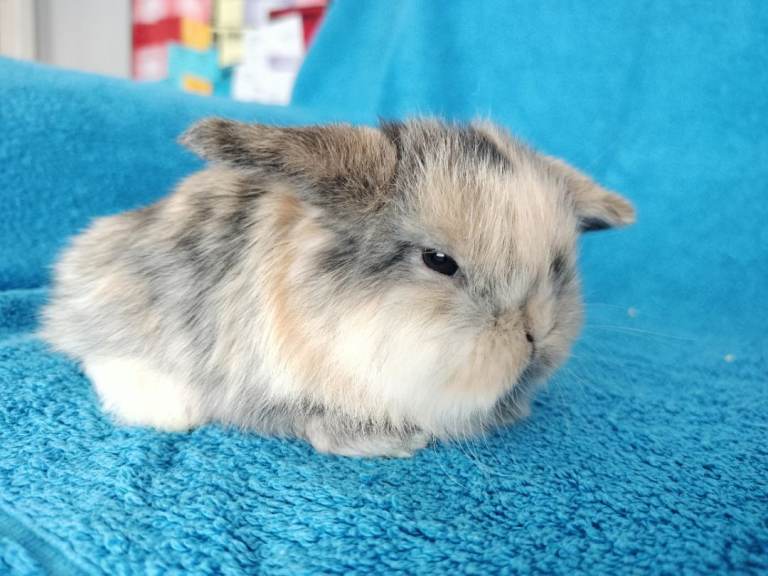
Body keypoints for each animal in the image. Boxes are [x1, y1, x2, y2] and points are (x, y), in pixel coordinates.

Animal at [40, 118, 635, 457]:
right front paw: (394, 443)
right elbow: (319, 425)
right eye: (439, 261)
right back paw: (166, 410)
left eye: (558, 268)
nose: (537, 335)